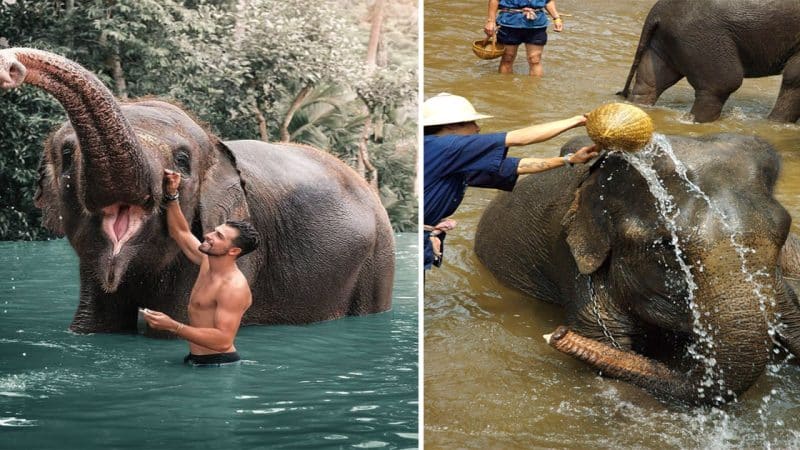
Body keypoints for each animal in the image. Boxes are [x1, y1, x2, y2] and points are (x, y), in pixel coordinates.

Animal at [620, 0, 800, 123]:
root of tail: (657, 12)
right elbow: (794, 76)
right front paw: (776, 124)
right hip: (703, 39)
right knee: (722, 85)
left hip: (665, 42)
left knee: (648, 84)